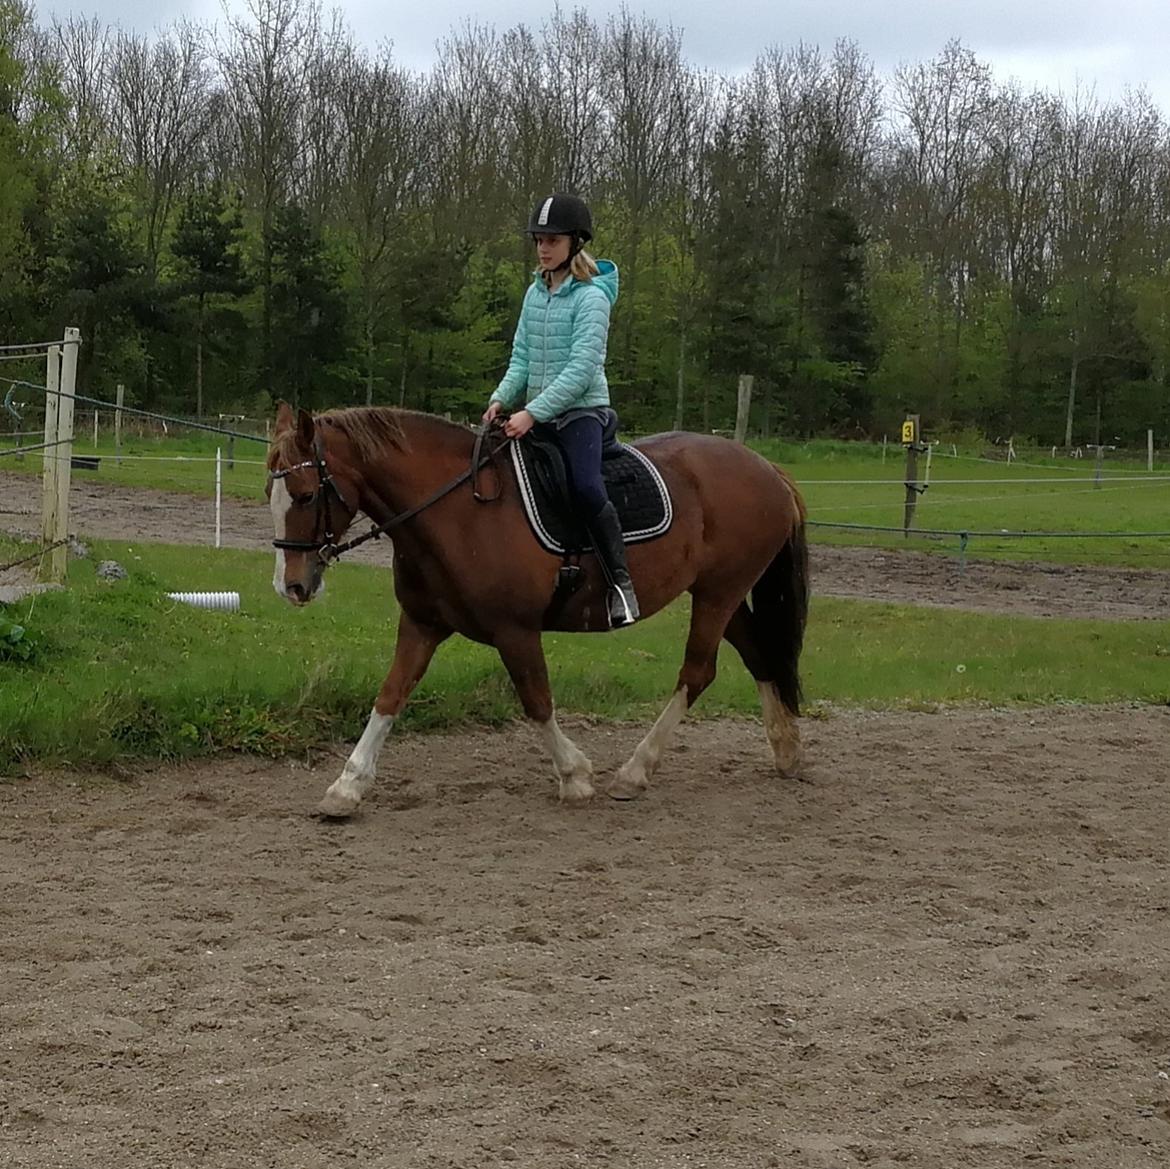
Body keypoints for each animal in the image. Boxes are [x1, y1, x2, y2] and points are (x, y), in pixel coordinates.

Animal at [267, 397, 809, 819]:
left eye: (306, 494)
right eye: (270, 493)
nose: (291, 586)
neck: (457, 512)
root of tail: (767, 469)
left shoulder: (515, 631)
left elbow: (537, 701)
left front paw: (576, 776)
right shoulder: (422, 624)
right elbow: (390, 696)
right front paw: (347, 787)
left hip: (719, 592)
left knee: (696, 673)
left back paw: (635, 772)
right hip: (722, 594)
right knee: (758, 656)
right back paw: (785, 750)